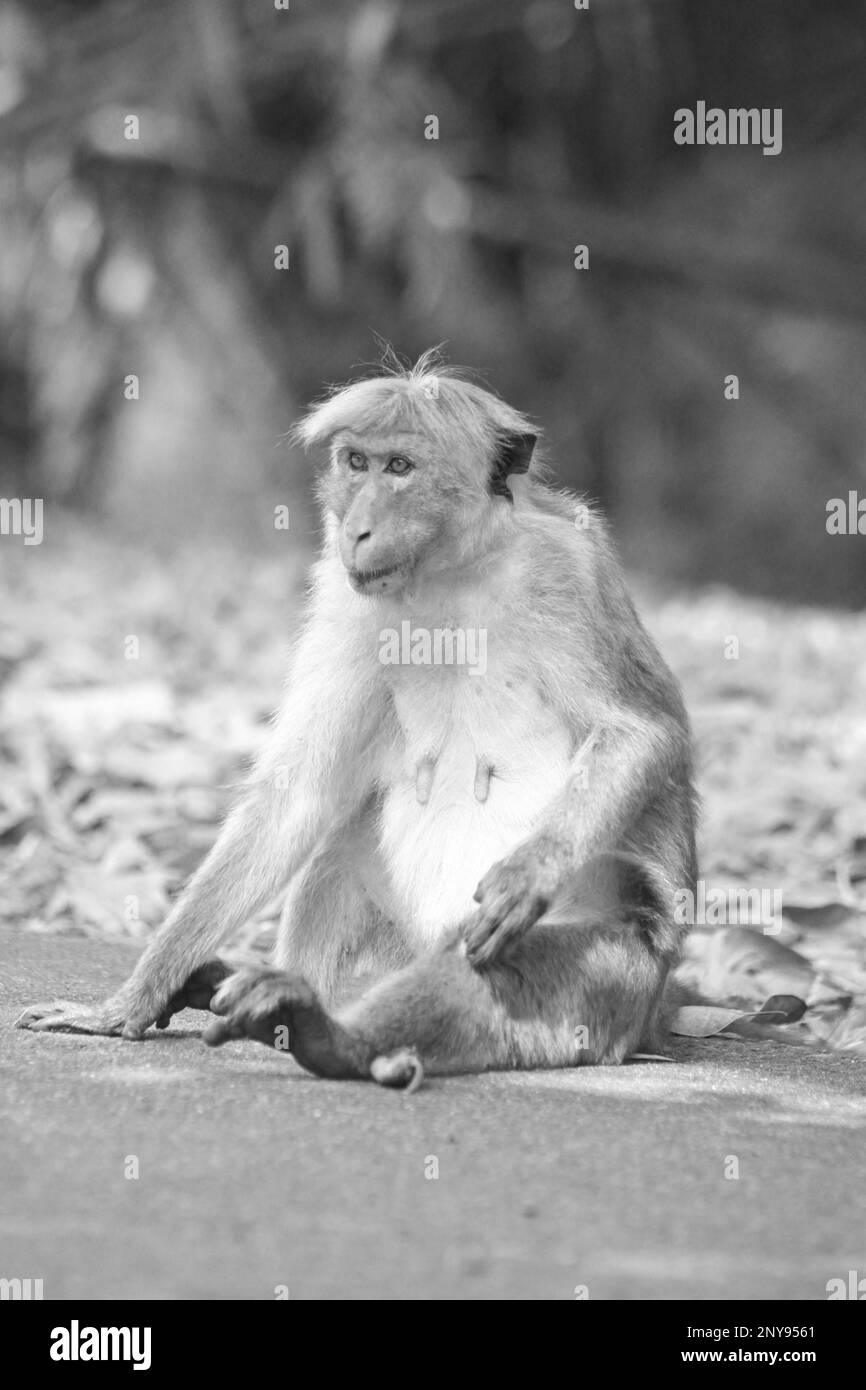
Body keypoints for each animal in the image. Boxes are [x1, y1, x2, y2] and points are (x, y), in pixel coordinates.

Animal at [18, 350, 697, 1084]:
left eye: (399, 468)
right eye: (356, 463)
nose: (355, 528)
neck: (448, 573)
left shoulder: (566, 574)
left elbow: (640, 732)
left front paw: (530, 873)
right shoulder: (344, 598)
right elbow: (297, 793)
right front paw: (130, 1001)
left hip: (612, 977)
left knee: (494, 966)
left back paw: (329, 1036)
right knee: (339, 852)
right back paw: (265, 1002)